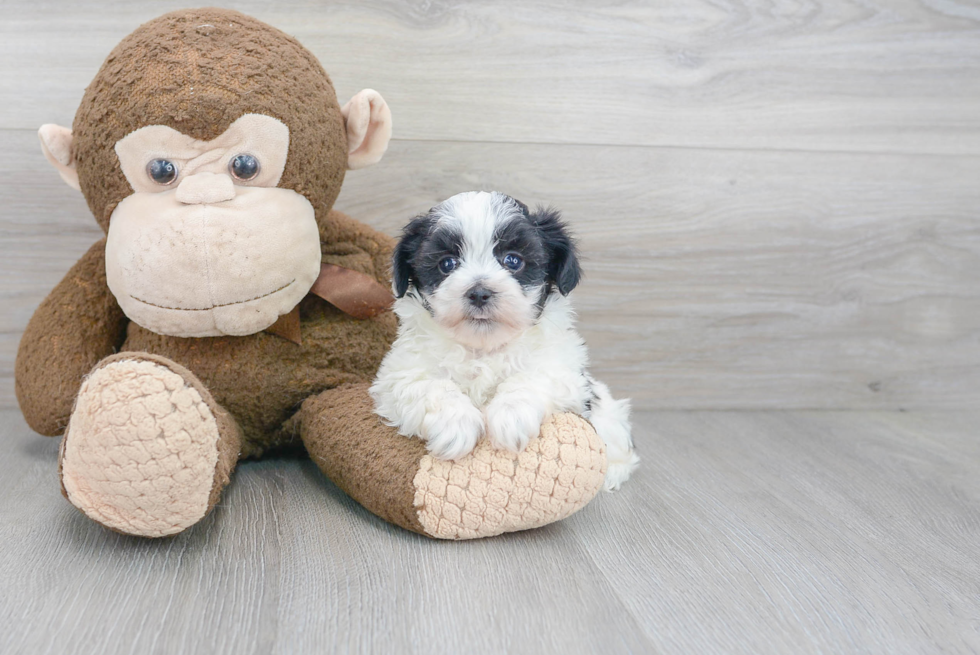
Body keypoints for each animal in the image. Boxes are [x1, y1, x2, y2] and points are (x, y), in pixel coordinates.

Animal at [372, 192, 640, 490]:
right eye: (447, 264)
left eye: (513, 260)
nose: (479, 292)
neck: (483, 348)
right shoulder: (400, 373)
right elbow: (432, 387)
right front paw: (456, 423)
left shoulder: (562, 368)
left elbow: (530, 378)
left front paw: (510, 416)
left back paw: (612, 472)